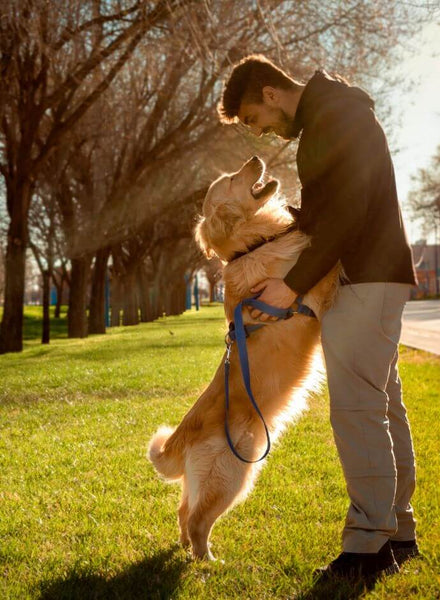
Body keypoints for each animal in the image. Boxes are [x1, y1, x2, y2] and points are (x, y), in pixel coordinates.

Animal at [150, 157, 338, 560]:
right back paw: (208, 561)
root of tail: (180, 439)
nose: (254, 159)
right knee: (198, 520)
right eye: (233, 179)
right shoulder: (312, 284)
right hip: (233, 474)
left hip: (204, 481)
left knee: (183, 511)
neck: (252, 247)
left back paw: (186, 550)